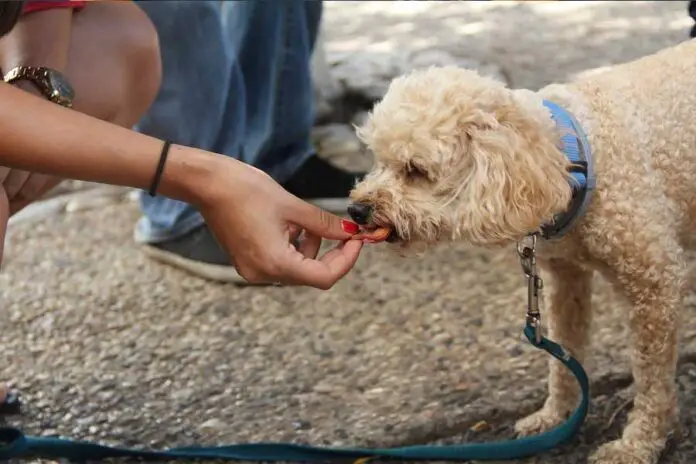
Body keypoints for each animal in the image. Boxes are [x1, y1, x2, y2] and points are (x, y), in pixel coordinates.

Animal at [348, 37, 696, 464]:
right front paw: (555, 415)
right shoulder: (566, 279)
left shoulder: (654, 286)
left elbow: (652, 379)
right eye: (378, 160)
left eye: (415, 170)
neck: (575, 159)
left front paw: (638, 443)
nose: (356, 210)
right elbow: (564, 357)